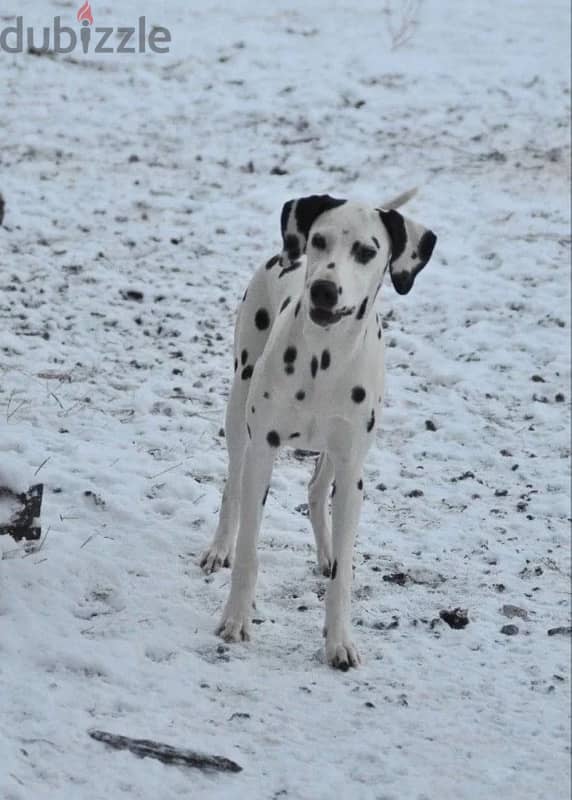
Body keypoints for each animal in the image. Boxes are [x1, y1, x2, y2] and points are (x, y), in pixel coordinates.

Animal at [201, 192, 438, 668]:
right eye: (319, 240)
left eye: (367, 252)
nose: (325, 289)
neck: (321, 361)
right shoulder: (262, 452)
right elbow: (249, 551)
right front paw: (236, 619)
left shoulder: (351, 469)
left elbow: (343, 574)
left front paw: (339, 641)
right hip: (239, 408)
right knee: (232, 483)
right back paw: (220, 547)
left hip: (336, 452)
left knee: (315, 489)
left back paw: (326, 554)